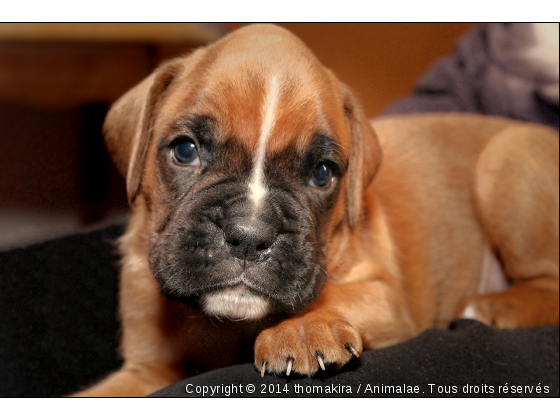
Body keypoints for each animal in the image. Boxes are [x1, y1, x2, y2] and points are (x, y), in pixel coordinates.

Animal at [72, 23, 556, 398]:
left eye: (323, 174)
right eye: (185, 150)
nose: (249, 235)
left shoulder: (385, 297)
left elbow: (333, 294)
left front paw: (304, 329)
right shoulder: (144, 373)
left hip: (505, 155)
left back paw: (493, 308)